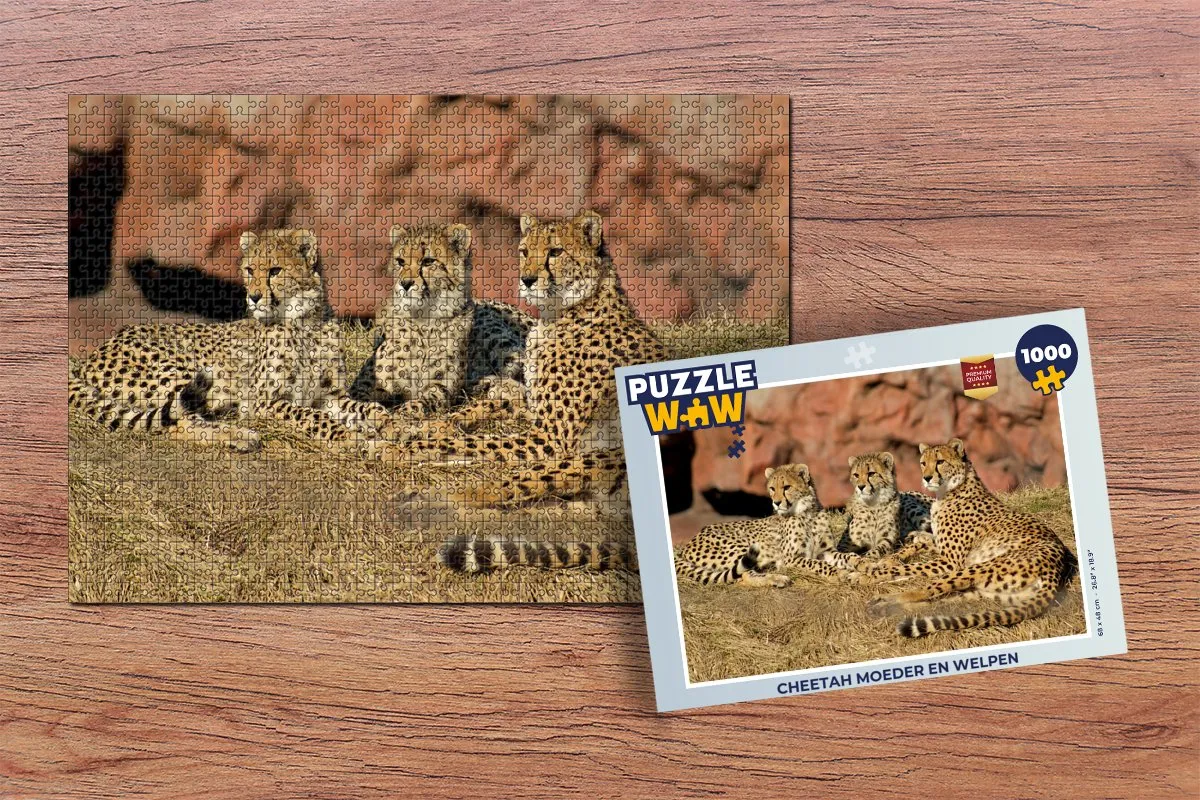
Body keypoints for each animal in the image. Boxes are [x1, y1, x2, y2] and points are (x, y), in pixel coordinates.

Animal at [69, 228, 387, 450]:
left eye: (275, 271)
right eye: (249, 270)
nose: (254, 297)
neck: (304, 322)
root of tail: (96, 352)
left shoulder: (330, 396)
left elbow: (366, 407)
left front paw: (388, 424)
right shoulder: (263, 402)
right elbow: (310, 416)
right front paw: (347, 435)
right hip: (182, 372)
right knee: (176, 422)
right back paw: (239, 435)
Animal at [350, 222, 532, 417]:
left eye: (428, 261)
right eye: (400, 261)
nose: (405, 284)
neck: (424, 319)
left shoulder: (440, 386)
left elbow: (424, 401)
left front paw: (404, 413)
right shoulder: (364, 385)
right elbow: (360, 401)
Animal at [385, 210, 669, 513]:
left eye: (556, 251)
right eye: (524, 251)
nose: (528, 279)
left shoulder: (550, 440)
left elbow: (476, 442)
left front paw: (402, 447)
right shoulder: (535, 417)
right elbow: (488, 414)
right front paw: (426, 426)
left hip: (592, 458)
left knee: (501, 486)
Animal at [673, 464, 844, 587]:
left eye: (787, 487)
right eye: (772, 488)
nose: (776, 503)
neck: (808, 513)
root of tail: (691, 541)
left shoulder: (826, 551)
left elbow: (845, 557)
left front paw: (850, 568)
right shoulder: (790, 559)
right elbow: (817, 563)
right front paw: (839, 574)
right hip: (743, 547)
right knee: (744, 575)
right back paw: (778, 579)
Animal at [863, 438, 1075, 637]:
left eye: (940, 461)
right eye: (923, 463)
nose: (927, 477)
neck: (951, 490)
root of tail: (1057, 570)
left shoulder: (951, 562)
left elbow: (910, 567)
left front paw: (869, 572)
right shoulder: (943, 550)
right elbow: (921, 544)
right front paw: (896, 552)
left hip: (977, 568)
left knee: (926, 590)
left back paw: (884, 601)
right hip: (987, 593)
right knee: (941, 603)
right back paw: (886, 607)